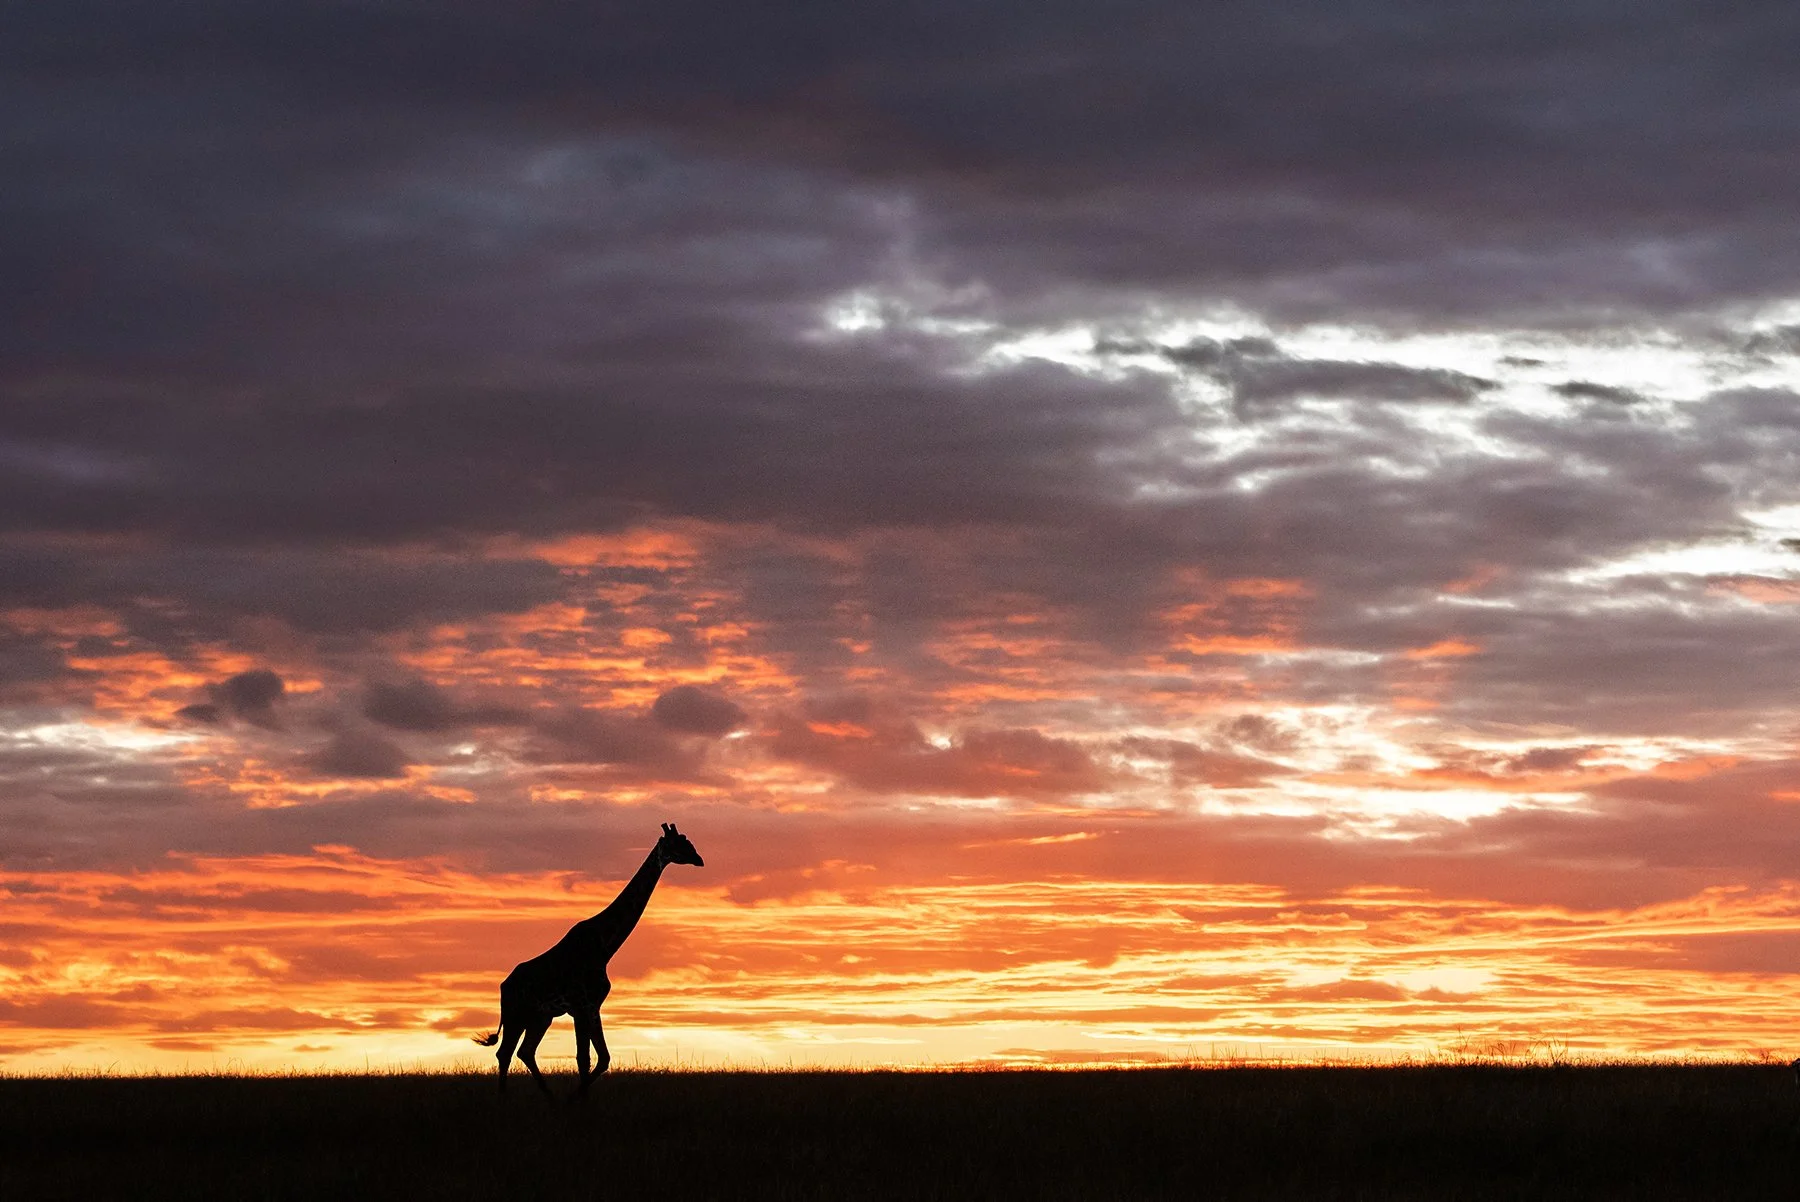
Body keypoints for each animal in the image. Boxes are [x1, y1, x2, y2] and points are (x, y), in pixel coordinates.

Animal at [474, 822, 704, 1095]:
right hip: (516, 1014)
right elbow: (585, 1058)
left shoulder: (592, 1006)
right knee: (505, 1053)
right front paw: (576, 1098)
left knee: (525, 1051)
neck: (605, 949)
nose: (699, 859)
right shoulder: (582, 1006)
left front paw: (576, 1098)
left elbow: (601, 1058)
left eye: (688, 842)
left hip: (541, 1017)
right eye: (677, 845)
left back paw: (551, 1097)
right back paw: (505, 1098)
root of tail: (504, 985)